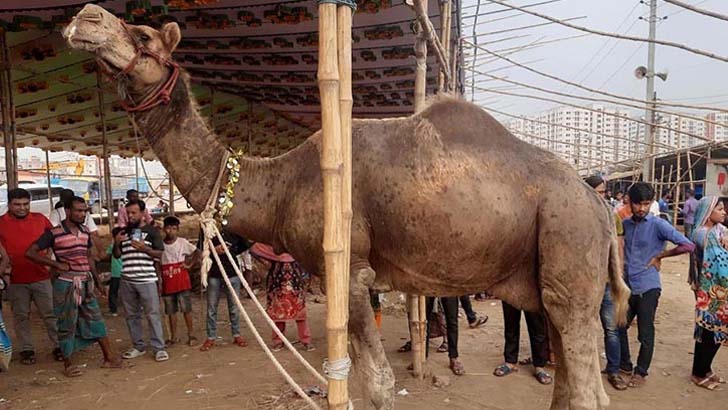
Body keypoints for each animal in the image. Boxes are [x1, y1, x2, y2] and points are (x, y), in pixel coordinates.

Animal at [62, 4, 632, 408]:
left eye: (143, 37)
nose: (84, 16)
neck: (282, 182)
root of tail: (599, 207)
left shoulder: (350, 268)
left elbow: (377, 384)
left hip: (567, 241)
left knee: (583, 380)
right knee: (569, 378)